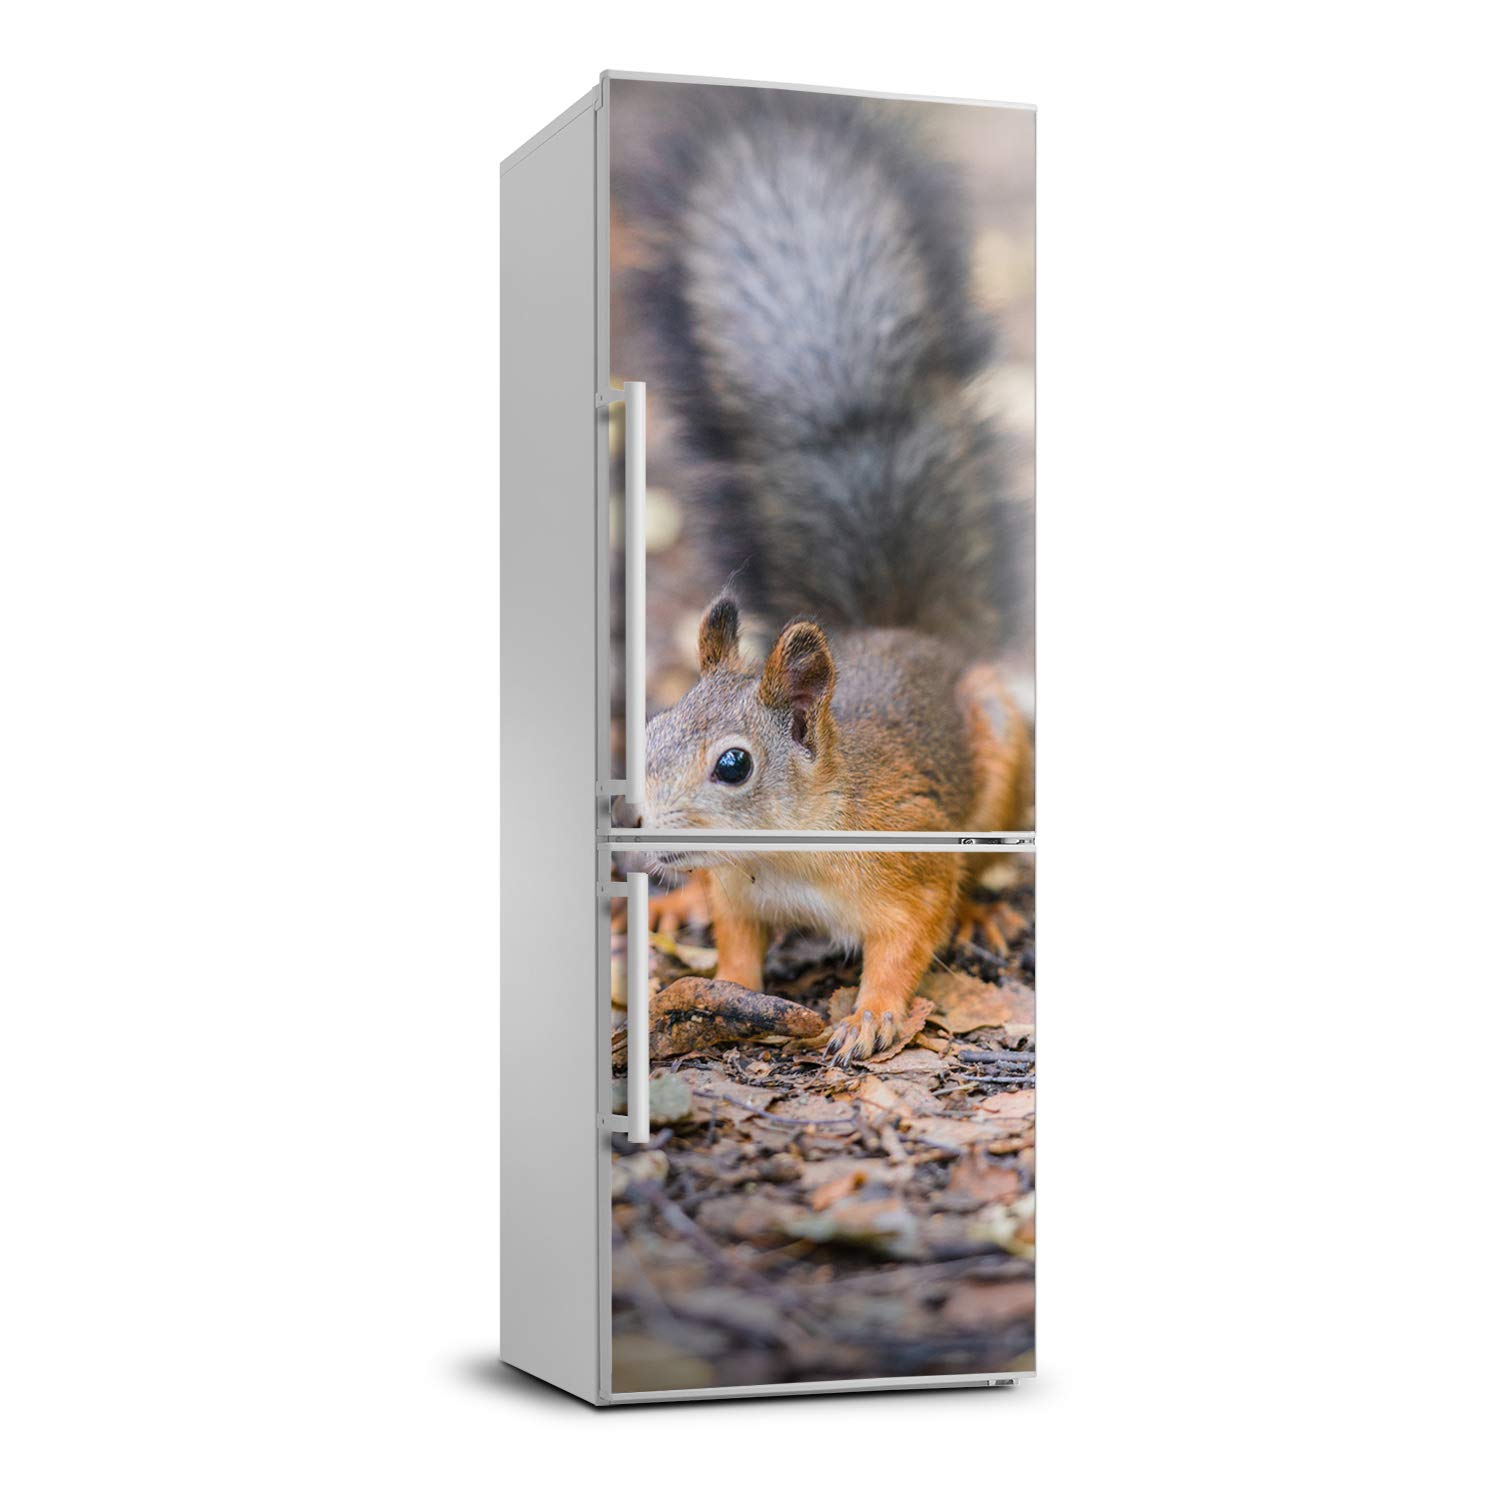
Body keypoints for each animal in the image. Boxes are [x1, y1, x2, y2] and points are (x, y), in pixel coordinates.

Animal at [624, 89, 1033, 1062]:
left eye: (734, 765)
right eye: (650, 729)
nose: (632, 838)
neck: (786, 853)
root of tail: (912, 634)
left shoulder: (908, 855)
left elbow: (909, 939)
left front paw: (874, 1013)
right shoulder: (742, 894)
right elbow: (738, 943)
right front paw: (727, 984)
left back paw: (988, 911)